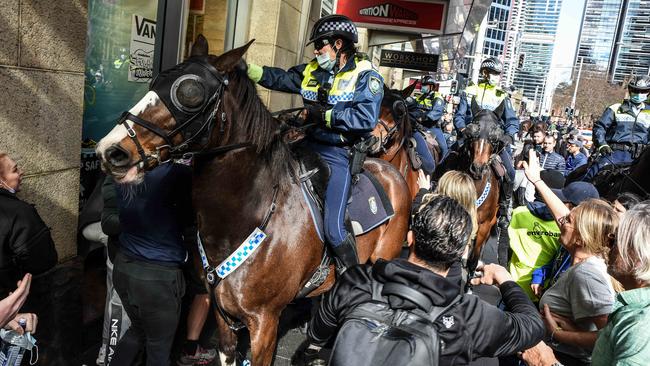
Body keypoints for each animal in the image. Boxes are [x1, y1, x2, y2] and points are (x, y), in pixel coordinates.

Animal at [93, 35, 408, 366]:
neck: (247, 218)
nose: (111, 150)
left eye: (190, 93)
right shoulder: (223, 315)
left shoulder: (264, 322)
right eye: (155, 81)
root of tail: (390, 170)